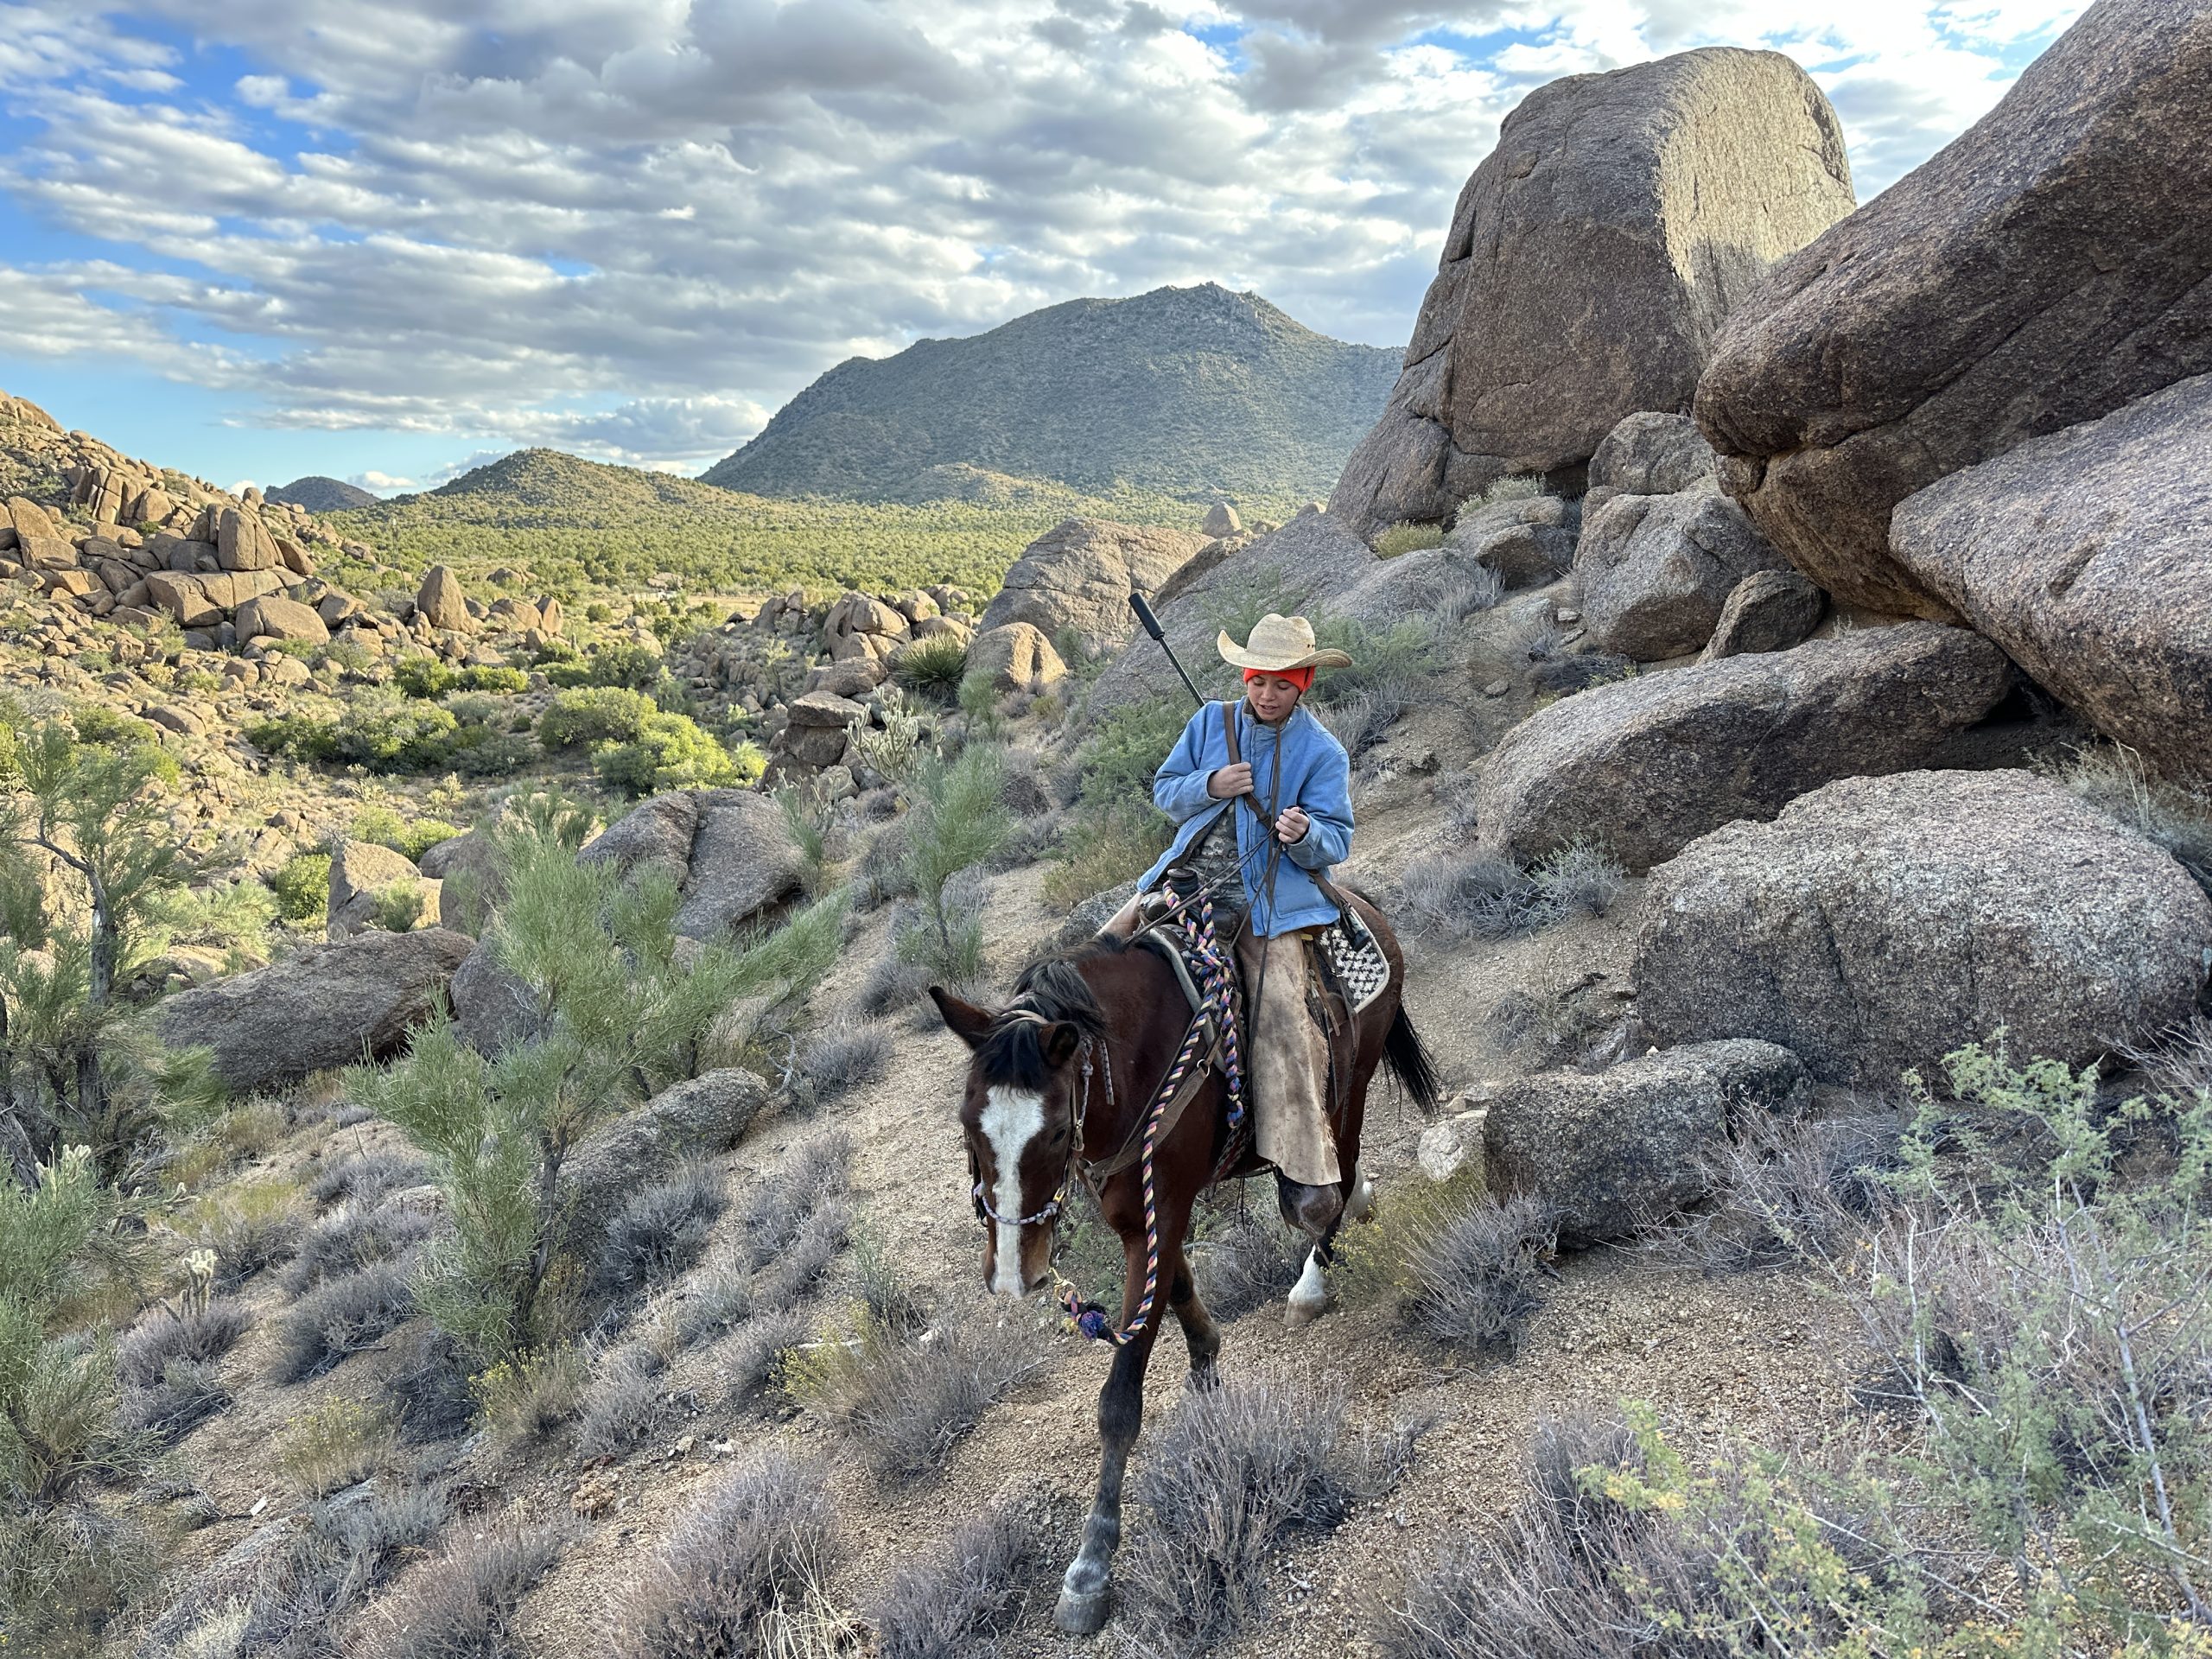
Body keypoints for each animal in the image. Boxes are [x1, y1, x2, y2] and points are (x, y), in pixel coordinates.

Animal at [929, 898, 1433, 1637]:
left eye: (1055, 1132)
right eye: (968, 1124)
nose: (1015, 1275)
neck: (1133, 1063)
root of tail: (1365, 906)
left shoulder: (1162, 1209)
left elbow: (1121, 1395)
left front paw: (1091, 1566)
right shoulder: (1136, 1212)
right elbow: (1175, 1291)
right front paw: (1206, 1366)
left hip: (1352, 1084)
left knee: (1329, 1185)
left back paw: (1313, 1280)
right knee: (1345, 1176)